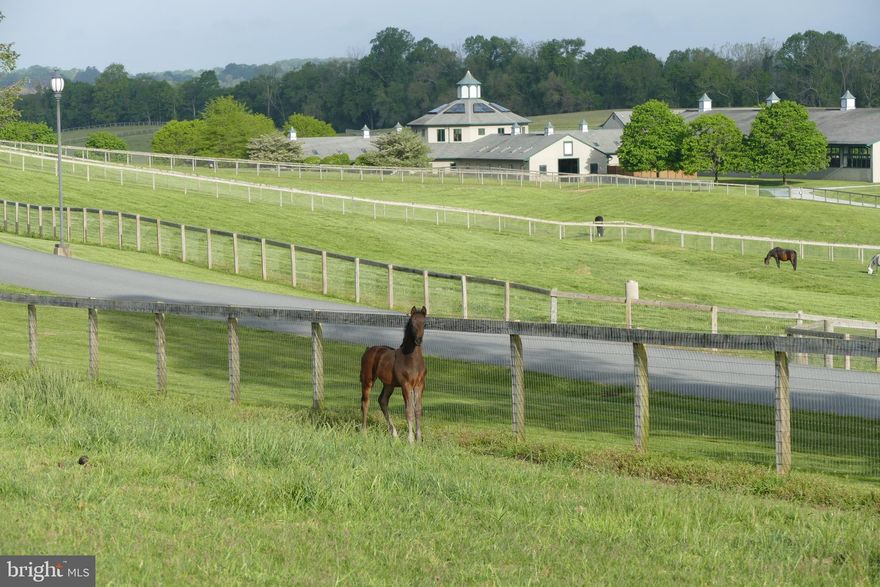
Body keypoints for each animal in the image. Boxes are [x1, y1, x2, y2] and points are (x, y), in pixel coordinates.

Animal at [360, 306, 427, 443]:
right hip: (368, 380)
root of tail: (368, 349)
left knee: (382, 401)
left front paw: (418, 439)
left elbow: (418, 409)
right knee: (365, 402)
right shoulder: (406, 385)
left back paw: (394, 434)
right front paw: (410, 440)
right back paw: (364, 432)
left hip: (388, 385)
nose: (418, 340)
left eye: (425, 324)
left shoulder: (419, 385)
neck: (411, 359)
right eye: (412, 323)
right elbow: (409, 410)